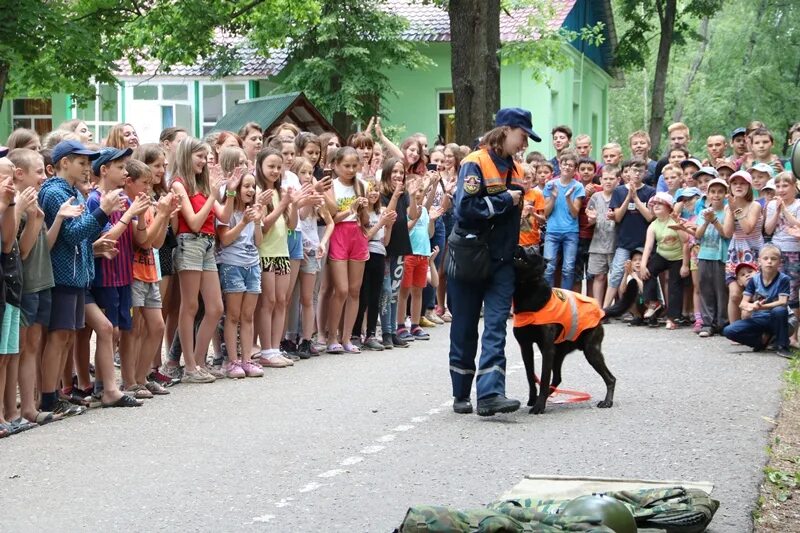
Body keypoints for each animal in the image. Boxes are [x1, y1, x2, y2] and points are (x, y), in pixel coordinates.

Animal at [512, 247, 620, 414]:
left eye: (533, 251)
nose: (518, 246)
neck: (527, 289)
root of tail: (601, 311)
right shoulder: (526, 347)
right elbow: (530, 376)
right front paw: (533, 399)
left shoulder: (547, 349)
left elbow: (543, 378)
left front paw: (539, 406)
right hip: (559, 352)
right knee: (557, 378)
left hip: (590, 351)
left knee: (611, 378)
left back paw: (607, 401)